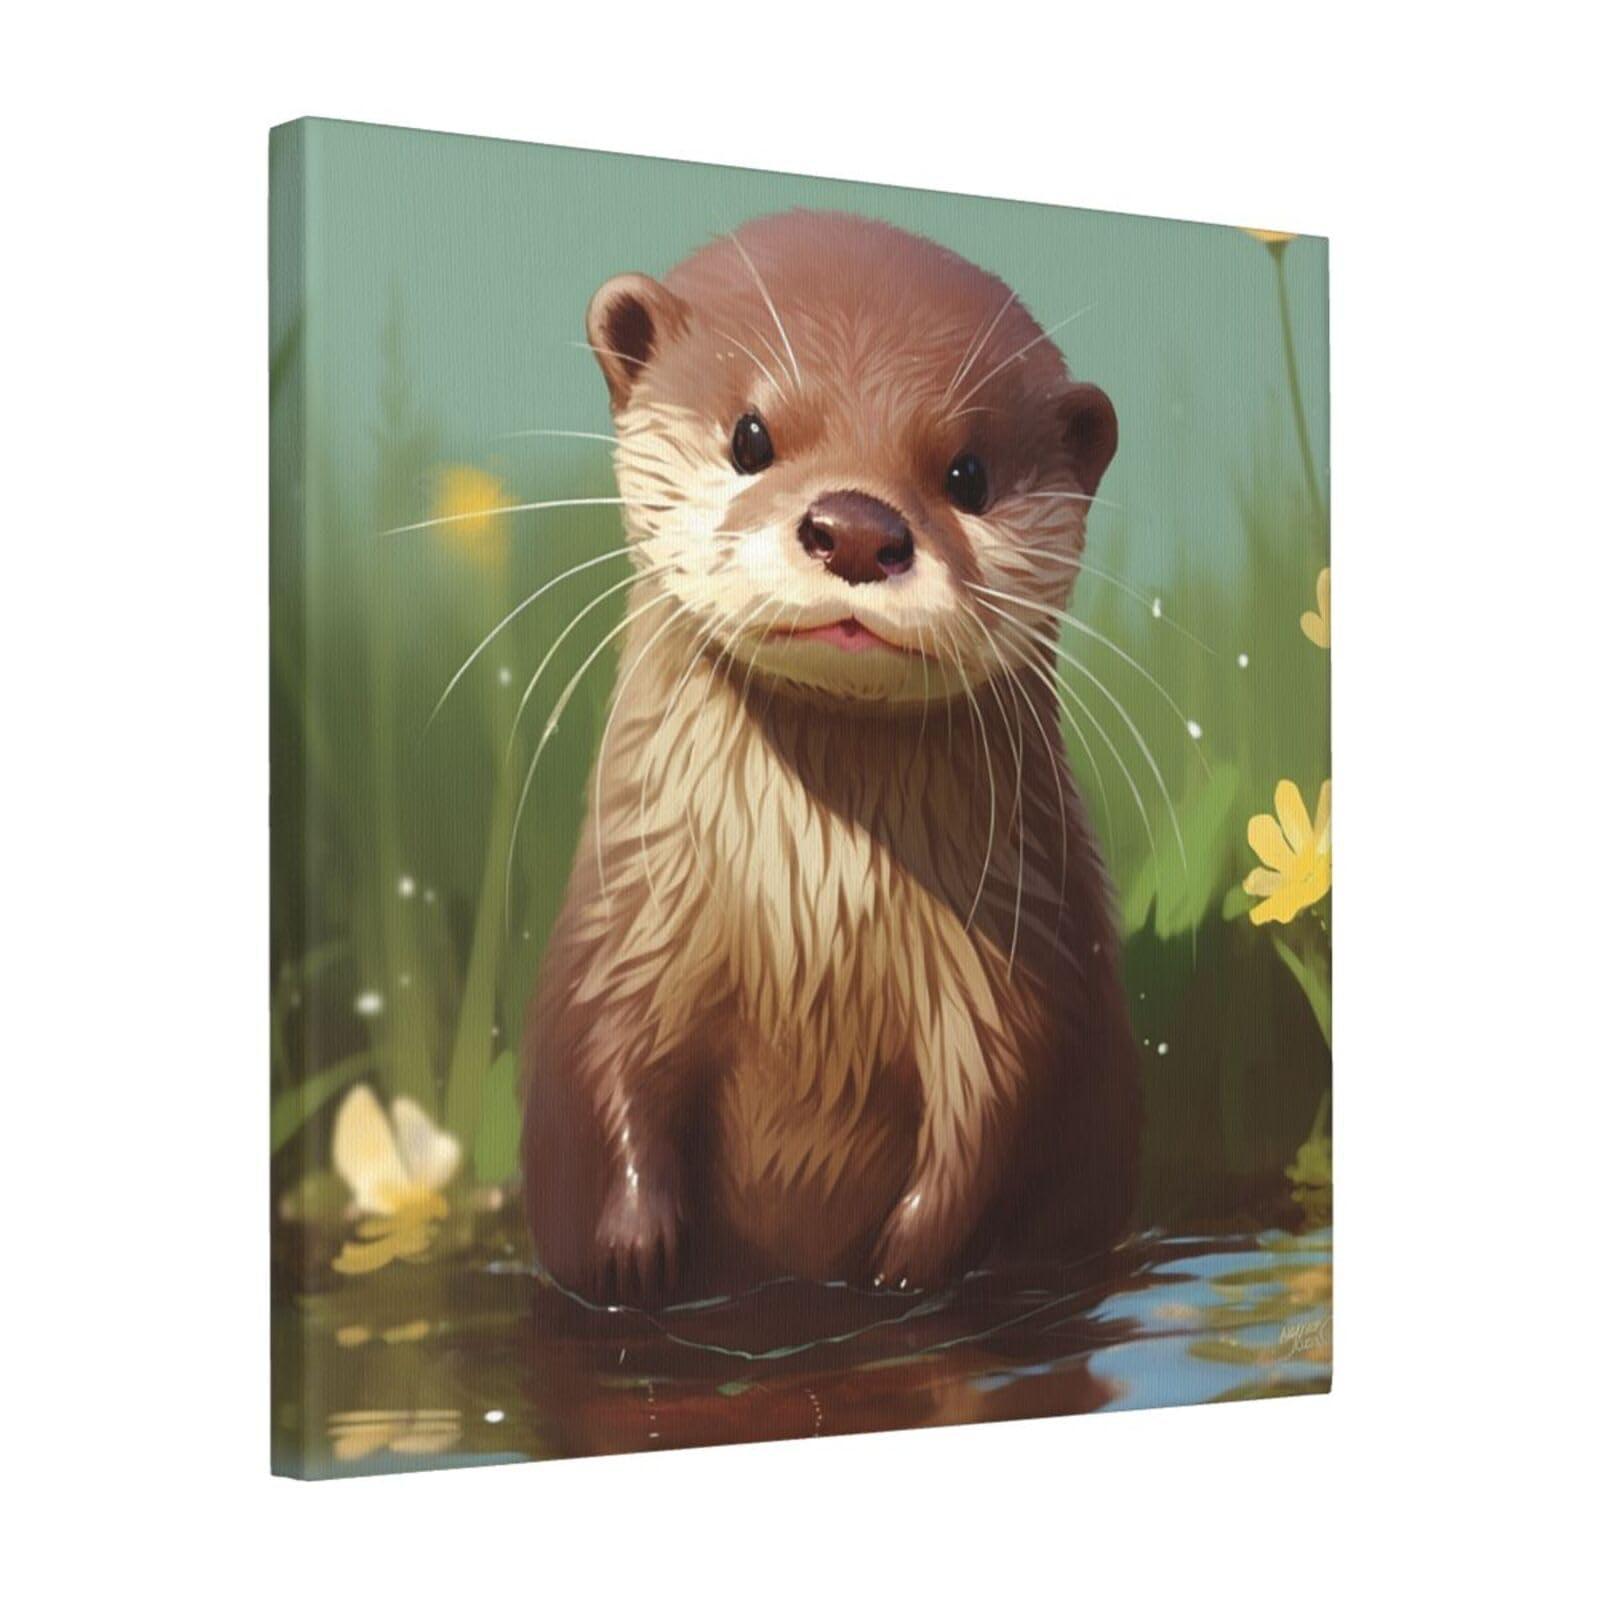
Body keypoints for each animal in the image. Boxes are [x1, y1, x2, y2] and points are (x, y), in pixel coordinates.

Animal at [522, 211, 1139, 1305]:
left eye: (967, 475)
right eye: (750, 436)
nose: (856, 527)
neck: (807, 922)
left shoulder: (1012, 964)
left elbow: (1001, 1106)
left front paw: (907, 1265)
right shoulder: (626, 930)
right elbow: (610, 1066)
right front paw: (633, 1251)